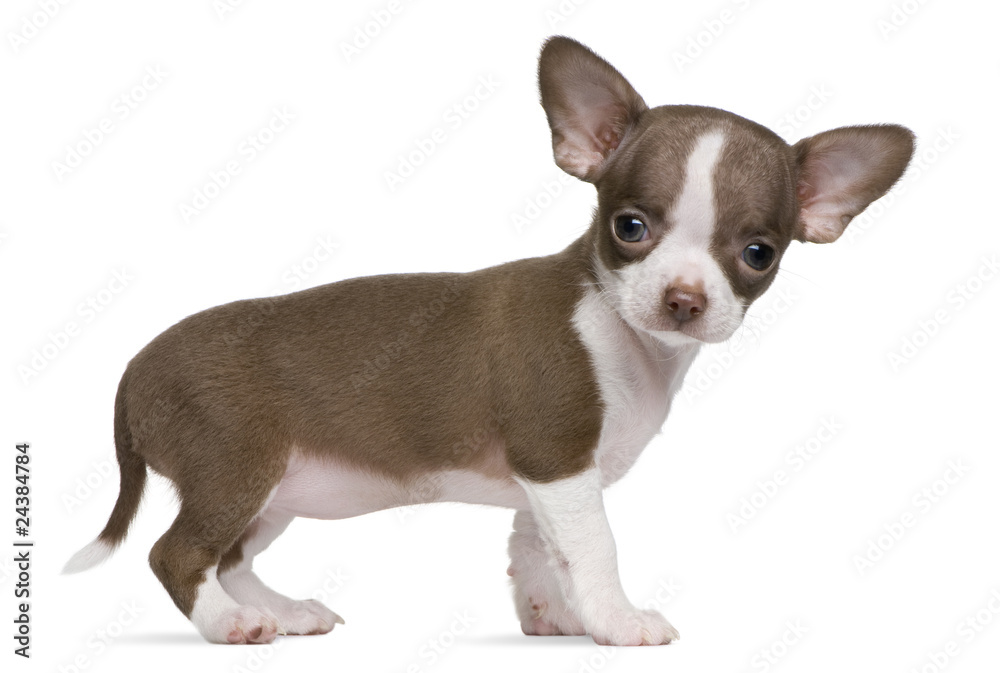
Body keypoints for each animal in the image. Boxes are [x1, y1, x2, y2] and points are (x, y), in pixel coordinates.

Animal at [62, 38, 916, 644]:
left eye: (758, 253)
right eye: (630, 227)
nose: (683, 298)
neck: (623, 333)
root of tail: (131, 369)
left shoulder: (547, 483)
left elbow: (539, 551)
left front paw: (557, 618)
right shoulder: (559, 459)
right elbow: (596, 547)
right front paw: (618, 620)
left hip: (273, 489)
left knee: (231, 555)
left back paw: (281, 608)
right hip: (235, 467)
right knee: (178, 553)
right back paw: (230, 623)